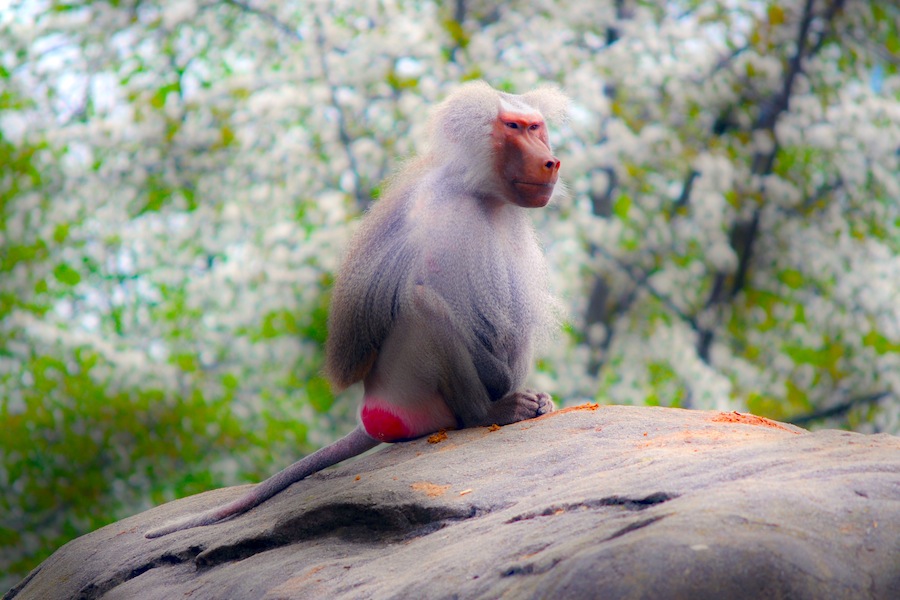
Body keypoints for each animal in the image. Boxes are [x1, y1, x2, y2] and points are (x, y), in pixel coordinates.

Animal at [145, 81, 568, 539]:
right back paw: (487, 413)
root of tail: (371, 410)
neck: (478, 192)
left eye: (536, 127)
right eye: (514, 127)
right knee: (423, 306)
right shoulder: (451, 222)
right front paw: (507, 397)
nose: (551, 160)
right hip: (410, 390)